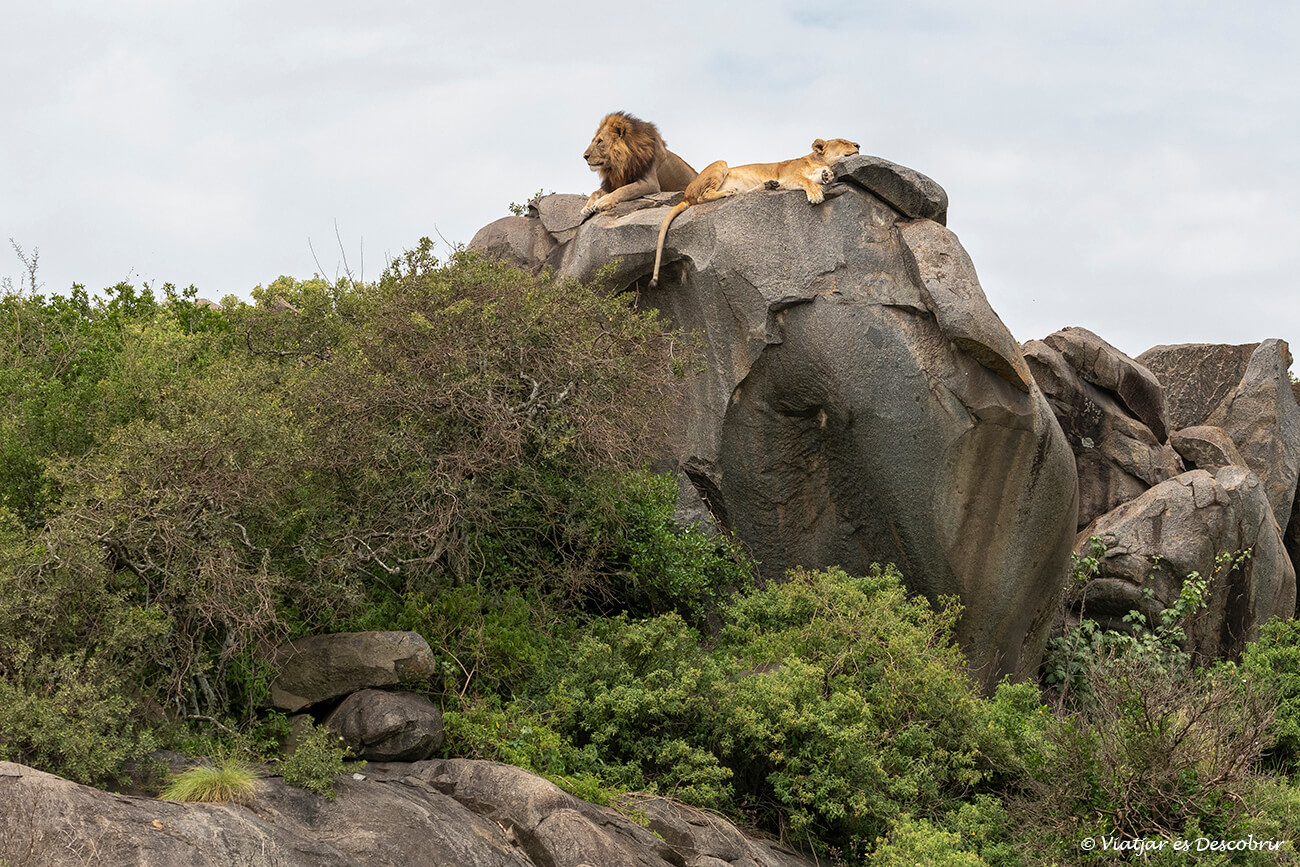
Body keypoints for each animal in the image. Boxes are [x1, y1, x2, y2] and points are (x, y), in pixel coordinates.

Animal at [647, 138, 860, 289]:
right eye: (843, 141)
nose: (858, 145)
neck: (815, 159)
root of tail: (685, 195)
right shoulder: (790, 176)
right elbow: (805, 181)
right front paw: (816, 193)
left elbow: (815, 176)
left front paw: (826, 175)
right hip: (720, 164)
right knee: (703, 196)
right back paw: (730, 192)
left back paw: (768, 185)